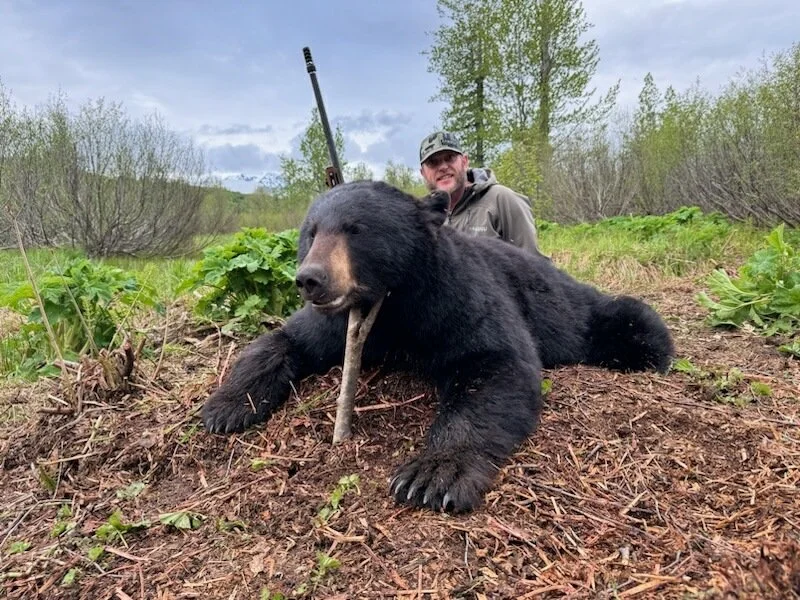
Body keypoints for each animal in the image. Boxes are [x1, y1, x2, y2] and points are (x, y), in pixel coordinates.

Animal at [201, 180, 675, 513]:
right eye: (311, 232)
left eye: (356, 230)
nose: (310, 278)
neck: (391, 307)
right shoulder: (334, 322)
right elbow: (285, 340)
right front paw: (225, 408)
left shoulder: (455, 299)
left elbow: (495, 364)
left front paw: (432, 475)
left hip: (585, 313)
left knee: (634, 322)